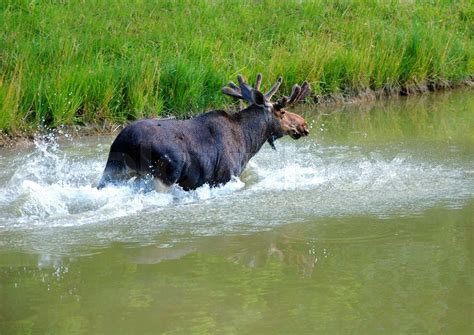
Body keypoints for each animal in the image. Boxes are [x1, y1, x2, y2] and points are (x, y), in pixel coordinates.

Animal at [96, 75, 312, 193]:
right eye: (282, 112)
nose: (304, 124)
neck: (248, 142)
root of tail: (125, 144)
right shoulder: (226, 176)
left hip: (113, 172)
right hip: (165, 174)